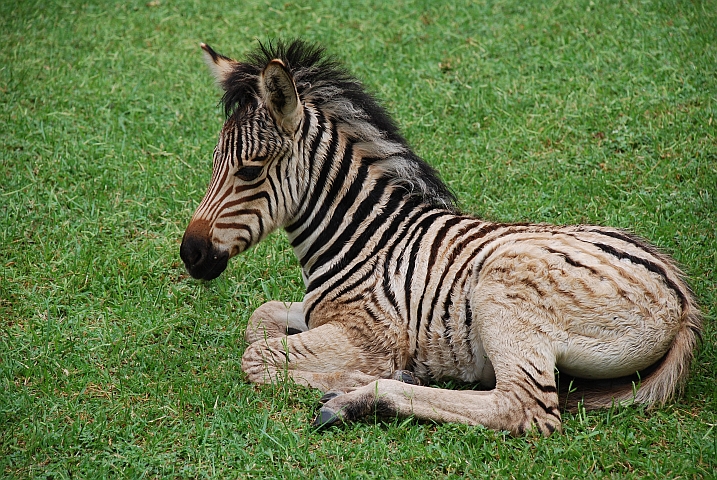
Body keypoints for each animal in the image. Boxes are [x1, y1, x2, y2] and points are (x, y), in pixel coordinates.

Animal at [179, 40, 702, 435]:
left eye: (249, 171)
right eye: (213, 164)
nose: (190, 254)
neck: (361, 239)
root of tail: (681, 295)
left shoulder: (371, 333)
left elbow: (256, 357)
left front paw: (364, 374)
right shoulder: (314, 311)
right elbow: (260, 319)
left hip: (503, 290)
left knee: (522, 408)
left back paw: (358, 400)